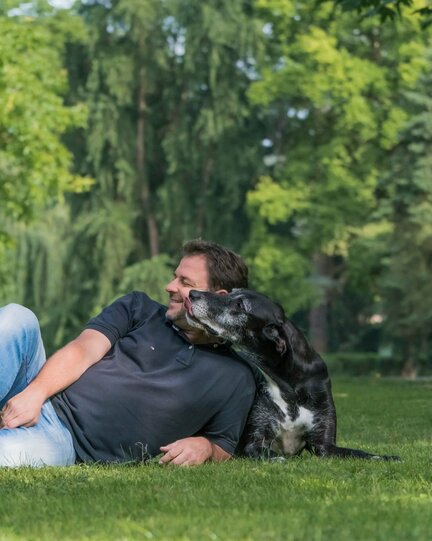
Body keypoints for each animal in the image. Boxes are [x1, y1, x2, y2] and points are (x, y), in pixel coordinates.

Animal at [184, 288, 400, 462]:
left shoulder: (324, 445)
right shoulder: (253, 442)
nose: (192, 293)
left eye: (240, 305)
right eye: (230, 292)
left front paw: (385, 457)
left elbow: (359, 453)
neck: (289, 384)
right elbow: (267, 452)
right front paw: (277, 459)